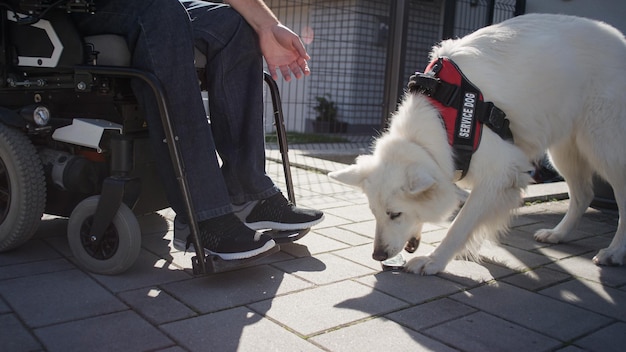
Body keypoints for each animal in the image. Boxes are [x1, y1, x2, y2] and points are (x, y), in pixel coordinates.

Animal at [326, 13, 624, 276]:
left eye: (395, 214)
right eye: (373, 213)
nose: (378, 255)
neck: (445, 119)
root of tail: (620, 39)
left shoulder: (500, 174)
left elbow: (461, 224)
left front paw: (434, 261)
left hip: (604, 147)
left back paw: (614, 252)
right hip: (564, 150)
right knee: (583, 194)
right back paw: (558, 234)